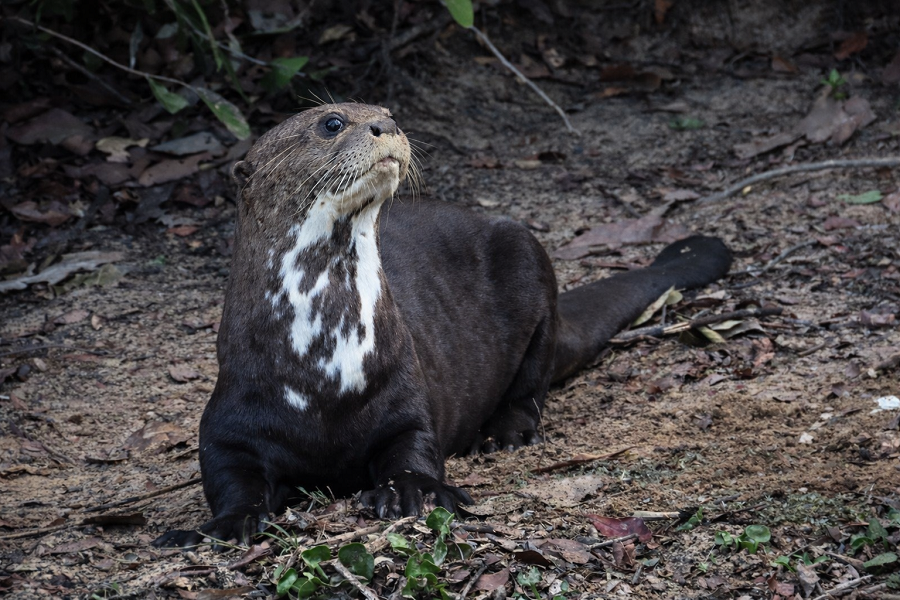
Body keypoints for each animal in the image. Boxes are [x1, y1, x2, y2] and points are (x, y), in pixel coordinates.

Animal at [153, 103, 731, 548]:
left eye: (386, 110)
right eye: (332, 122)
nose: (385, 124)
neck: (322, 364)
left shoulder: (405, 389)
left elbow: (415, 446)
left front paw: (413, 491)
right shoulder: (232, 414)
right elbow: (229, 476)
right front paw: (224, 524)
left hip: (528, 255)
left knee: (534, 379)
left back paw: (503, 433)